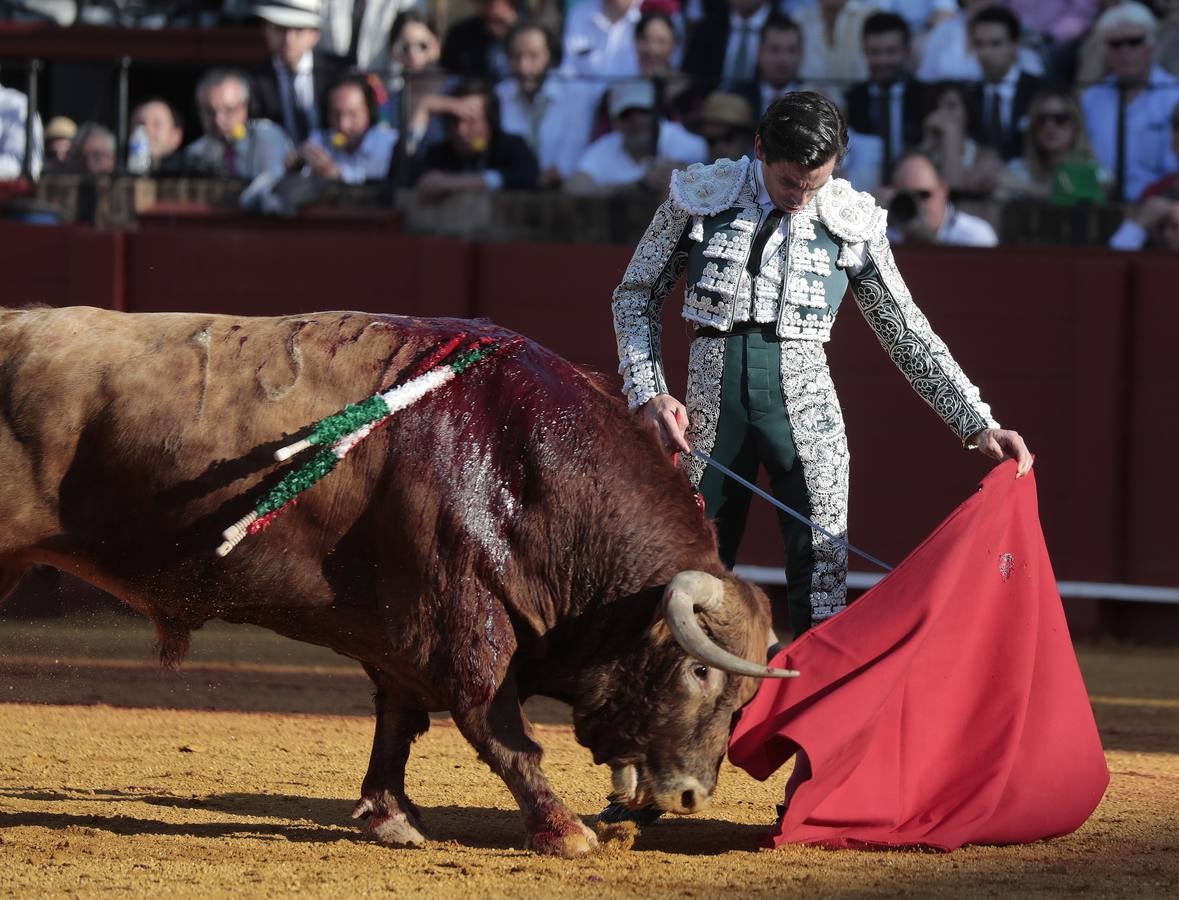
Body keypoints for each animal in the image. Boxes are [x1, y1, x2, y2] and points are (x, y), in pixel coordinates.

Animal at [0, 309, 797, 858]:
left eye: (744, 699)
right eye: (699, 670)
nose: (691, 794)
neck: (528, 467)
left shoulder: (398, 631)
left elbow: (397, 719)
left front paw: (391, 816)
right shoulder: (458, 617)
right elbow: (499, 728)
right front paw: (563, 830)